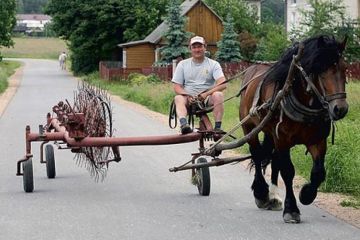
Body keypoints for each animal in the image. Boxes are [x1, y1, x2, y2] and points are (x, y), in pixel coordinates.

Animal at [240, 35, 348, 223]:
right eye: (321, 70)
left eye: (344, 68)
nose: (340, 109)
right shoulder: (282, 139)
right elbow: (288, 171)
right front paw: (291, 209)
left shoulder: (317, 141)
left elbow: (318, 172)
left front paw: (306, 194)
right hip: (249, 127)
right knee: (257, 154)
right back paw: (261, 193)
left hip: (270, 133)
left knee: (273, 159)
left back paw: (273, 197)